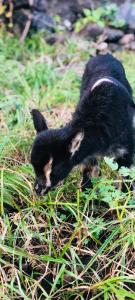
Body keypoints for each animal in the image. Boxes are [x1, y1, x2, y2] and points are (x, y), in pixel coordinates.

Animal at [30, 54, 135, 196]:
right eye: (33, 166)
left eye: (55, 168)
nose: (37, 190)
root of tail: (104, 55)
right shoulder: (89, 157)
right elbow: (87, 175)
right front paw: (85, 194)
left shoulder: (126, 152)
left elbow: (126, 178)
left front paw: (125, 196)